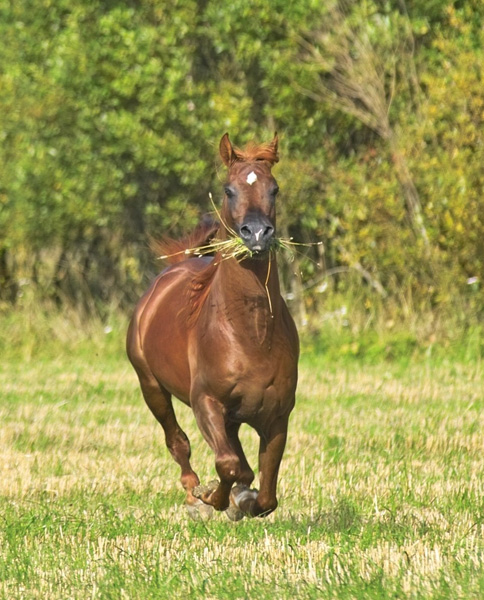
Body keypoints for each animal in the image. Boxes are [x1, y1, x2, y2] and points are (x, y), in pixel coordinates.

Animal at [125, 134, 298, 516]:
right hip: (151, 386)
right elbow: (228, 464)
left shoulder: (278, 415)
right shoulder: (205, 402)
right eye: (229, 189)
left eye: (275, 188)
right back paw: (193, 494)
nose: (257, 234)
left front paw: (243, 500)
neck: (251, 333)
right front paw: (212, 499)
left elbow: (266, 494)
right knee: (178, 441)